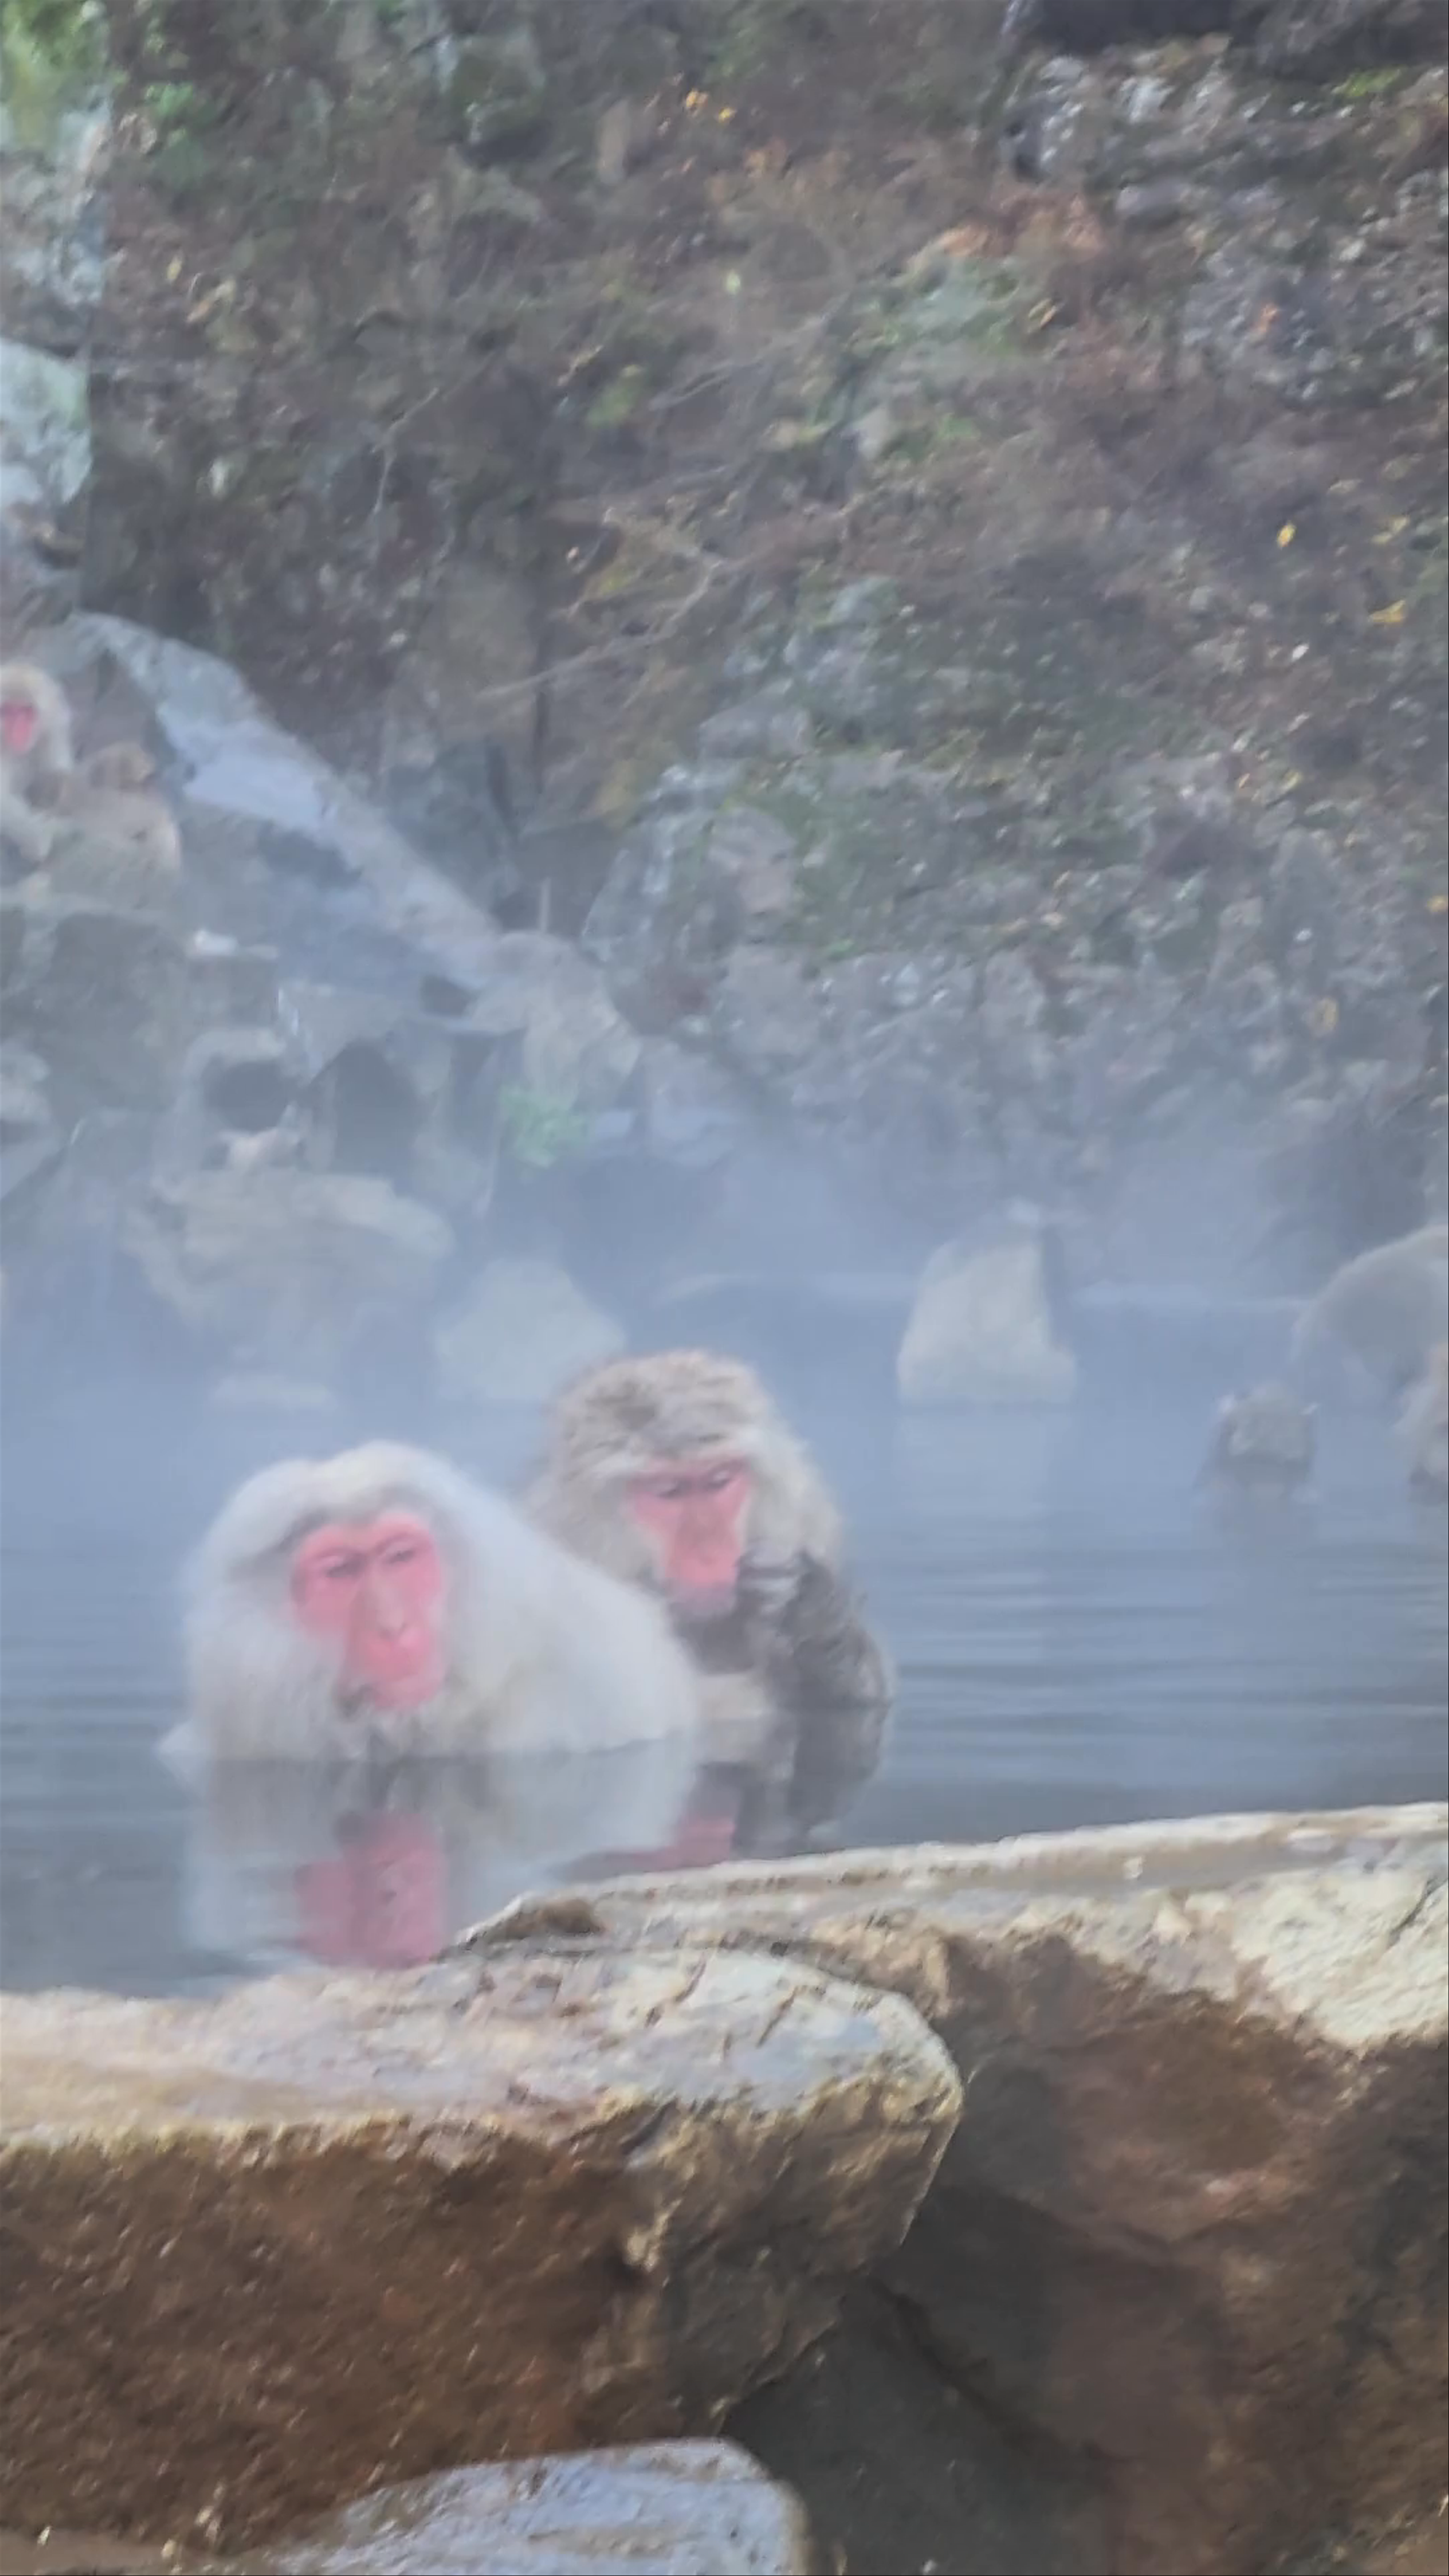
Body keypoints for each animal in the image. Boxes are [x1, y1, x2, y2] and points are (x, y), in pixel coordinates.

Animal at [0, 660, 73, 866]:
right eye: (8, 711)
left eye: (27, 711)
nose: (18, 732)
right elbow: (3, 801)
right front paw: (38, 840)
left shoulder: (53, 728)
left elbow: (58, 775)